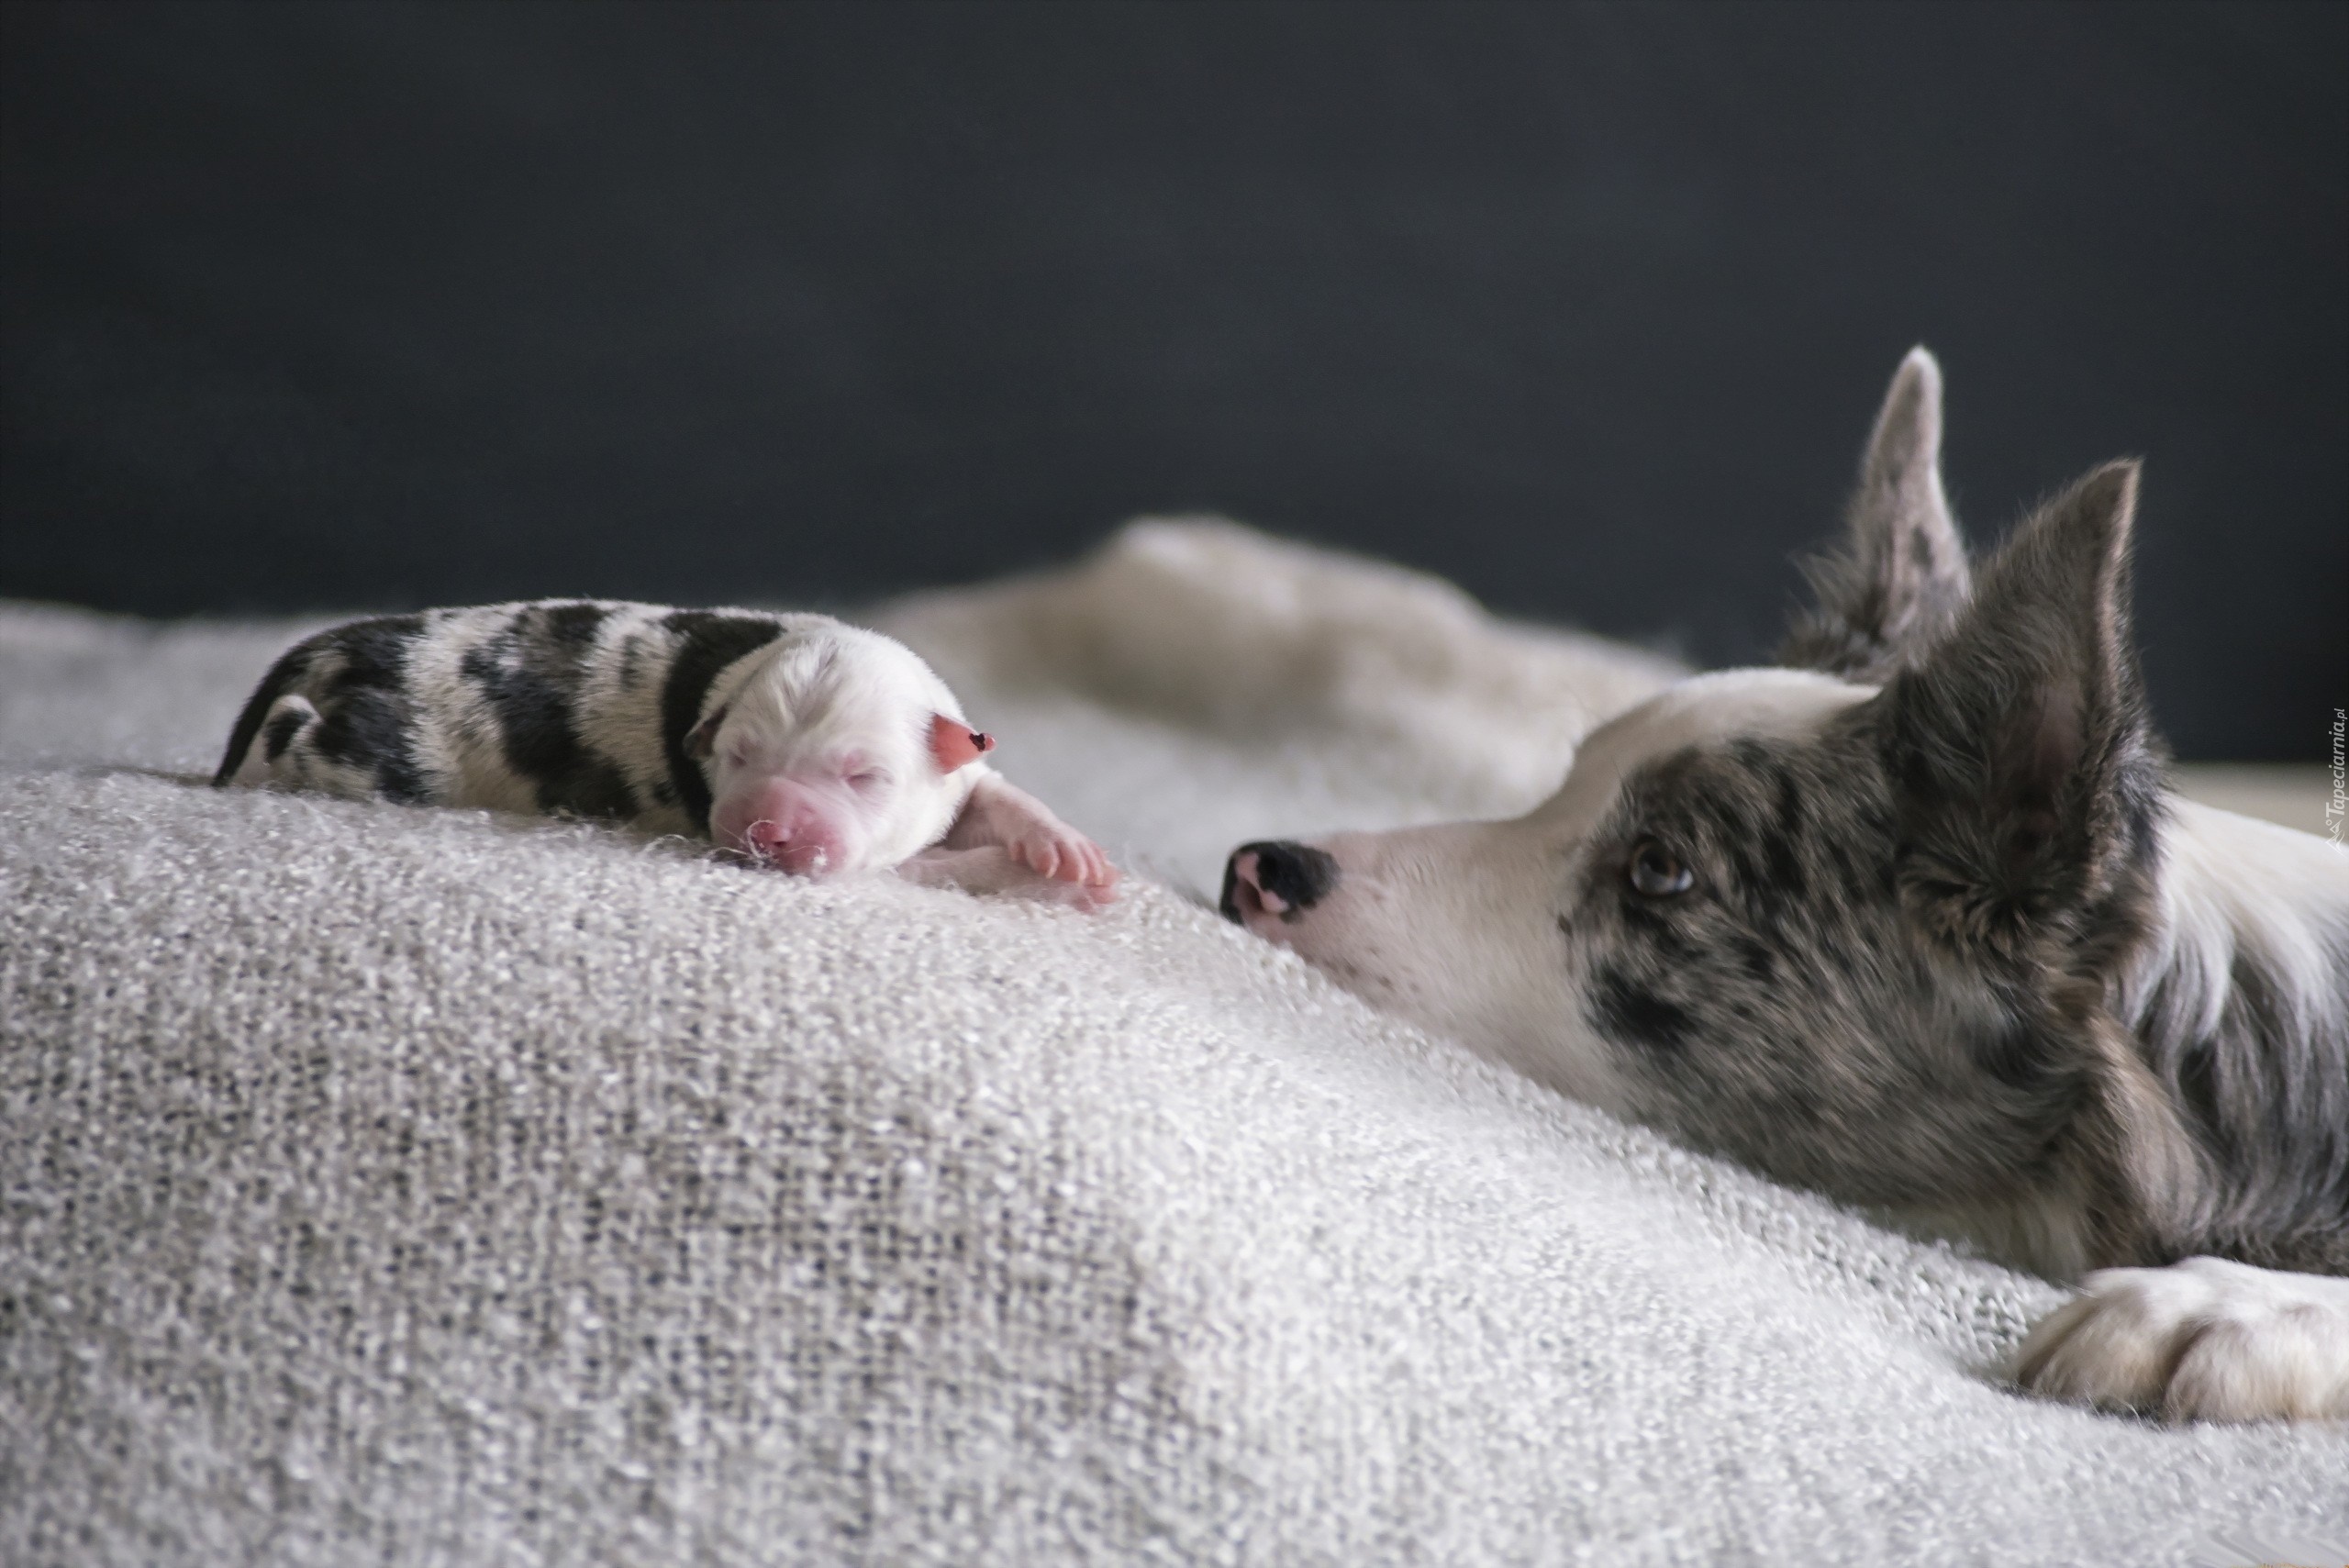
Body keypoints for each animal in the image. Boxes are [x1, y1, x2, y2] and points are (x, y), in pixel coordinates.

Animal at [213, 595, 1118, 906]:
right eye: (740, 756)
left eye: (864, 775)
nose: (767, 832)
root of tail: (366, 641)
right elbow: (935, 866)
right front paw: (1024, 874)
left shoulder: (951, 768)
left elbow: (988, 792)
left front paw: (1065, 848)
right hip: (389, 754)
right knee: (298, 729)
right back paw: (257, 761)